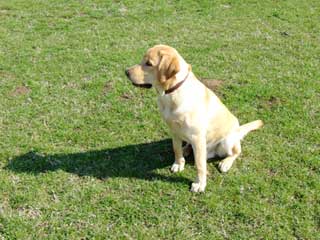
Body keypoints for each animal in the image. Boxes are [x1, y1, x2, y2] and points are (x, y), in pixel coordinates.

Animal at [125, 44, 262, 192]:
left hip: (227, 141)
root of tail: (238, 130)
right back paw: (186, 150)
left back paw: (225, 163)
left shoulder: (197, 137)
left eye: (149, 63)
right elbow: (176, 149)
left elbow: (200, 165)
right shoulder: (173, 130)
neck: (172, 92)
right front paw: (179, 163)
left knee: (236, 151)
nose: (126, 72)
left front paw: (200, 184)